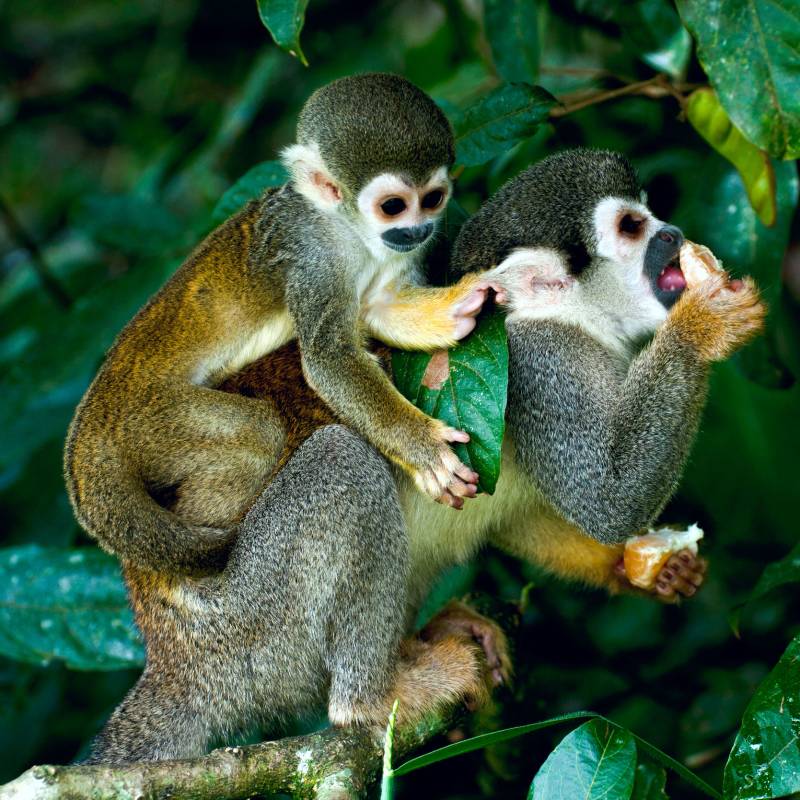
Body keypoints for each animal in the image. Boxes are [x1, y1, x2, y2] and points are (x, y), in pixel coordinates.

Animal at [65, 73, 500, 576]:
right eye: (394, 206)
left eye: (432, 200)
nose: (417, 230)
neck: (347, 229)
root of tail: (92, 424)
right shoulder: (312, 257)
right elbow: (329, 359)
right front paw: (423, 451)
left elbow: (377, 306)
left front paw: (458, 306)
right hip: (151, 422)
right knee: (258, 433)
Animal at [81, 148, 764, 764]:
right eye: (631, 226)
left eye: (649, 214)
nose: (673, 234)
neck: (573, 318)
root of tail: (174, 661)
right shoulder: (542, 365)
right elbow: (605, 497)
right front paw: (704, 322)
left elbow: (525, 515)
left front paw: (640, 566)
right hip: (251, 629)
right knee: (342, 464)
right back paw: (372, 699)